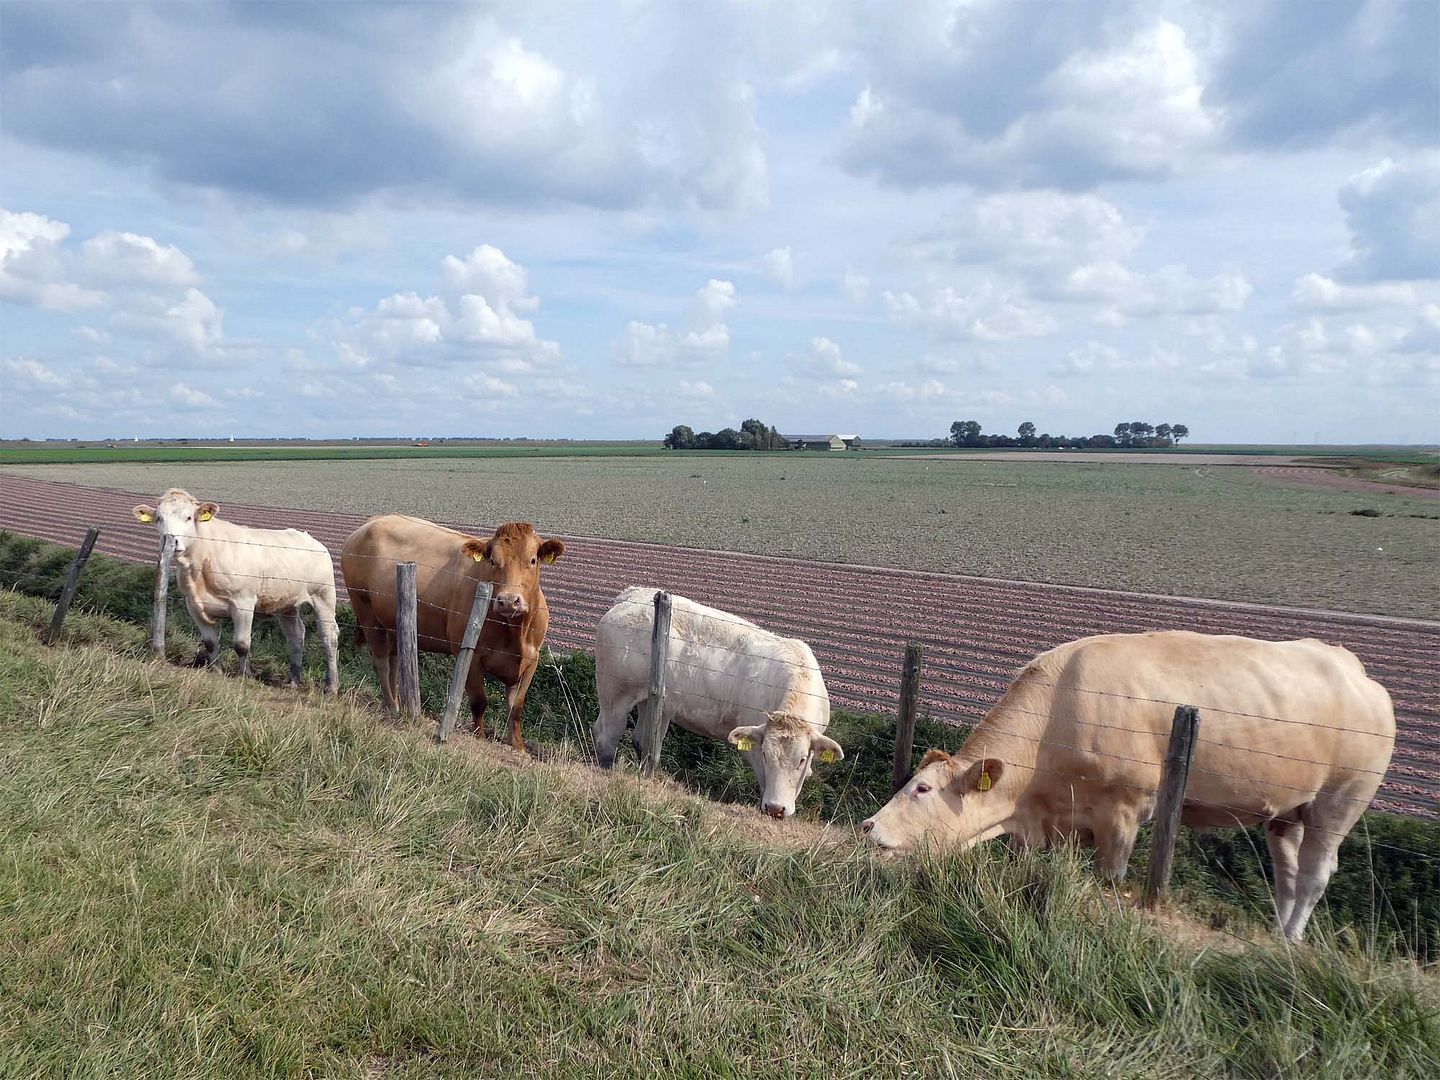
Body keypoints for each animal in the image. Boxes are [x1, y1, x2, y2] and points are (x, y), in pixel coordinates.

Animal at [131, 488, 340, 691]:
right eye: (159, 518)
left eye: (189, 517)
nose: (171, 542)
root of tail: (310, 539)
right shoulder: (193, 605)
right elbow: (210, 643)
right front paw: (217, 671)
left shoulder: (244, 602)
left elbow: (241, 644)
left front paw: (245, 676)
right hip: (286, 604)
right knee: (295, 635)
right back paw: (294, 680)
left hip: (324, 596)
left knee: (329, 636)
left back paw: (331, 686)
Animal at [339, 514, 562, 751]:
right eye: (493, 561)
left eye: (533, 560)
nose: (509, 601)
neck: (515, 632)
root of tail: (374, 521)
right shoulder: (471, 655)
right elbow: (479, 701)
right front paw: (478, 737)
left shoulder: (531, 660)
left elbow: (516, 708)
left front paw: (518, 746)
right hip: (366, 612)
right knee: (381, 663)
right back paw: (391, 707)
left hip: (392, 623)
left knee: (393, 663)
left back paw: (395, 704)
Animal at [594, 586, 843, 818]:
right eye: (765, 755)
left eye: (801, 760)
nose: (775, 808)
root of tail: (633, 595)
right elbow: (764, 780)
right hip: (615, 694)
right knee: (606, 736)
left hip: (653, 703)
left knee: (642, 741)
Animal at [860, 631, 1395, 942]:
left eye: (922, 790)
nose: (868, 826)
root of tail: (1357, 671)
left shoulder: (1122, 815)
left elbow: (1109, 880)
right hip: (1288, 812)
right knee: (1287, 874)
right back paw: (1279, 932)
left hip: (1340, 802)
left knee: (1315, 874)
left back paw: (1292, 939)